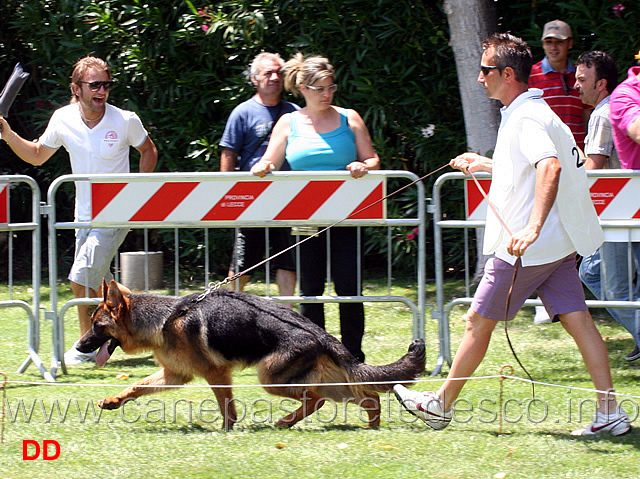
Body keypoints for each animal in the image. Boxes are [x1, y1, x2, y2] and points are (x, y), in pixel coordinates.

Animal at [76, 280, 424, 430]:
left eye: (97, 325)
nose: (78, 347)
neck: (165, 318)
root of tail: (319, 333)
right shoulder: (175, 374)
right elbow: (137, 386)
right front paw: (113, 401)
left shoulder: (215, 374)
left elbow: (225, 405)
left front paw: (227, 430)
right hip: (324, 381)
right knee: (367, 397)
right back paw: (371, 426)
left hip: (270, 377)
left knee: (316, 400)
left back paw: (285, 422)